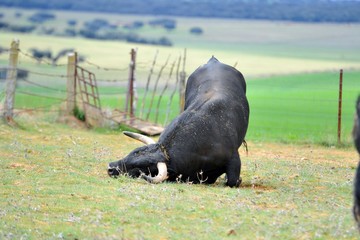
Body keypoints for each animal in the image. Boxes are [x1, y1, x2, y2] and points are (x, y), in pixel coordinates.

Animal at [108, 56, 249, 188]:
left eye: (139, 168)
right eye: (131, 154)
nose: (110, 168)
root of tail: (214, 61)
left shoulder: (233, 159)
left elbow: (232, 181)